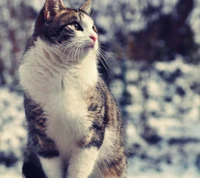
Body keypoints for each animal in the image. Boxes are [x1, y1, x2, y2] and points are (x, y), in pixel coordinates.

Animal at [19, 0, 126, 178]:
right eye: (76, 25)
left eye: (94, 28)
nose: (95, 37)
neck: (64, 71)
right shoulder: (42, 137)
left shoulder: (91, 132)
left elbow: (79, 168)